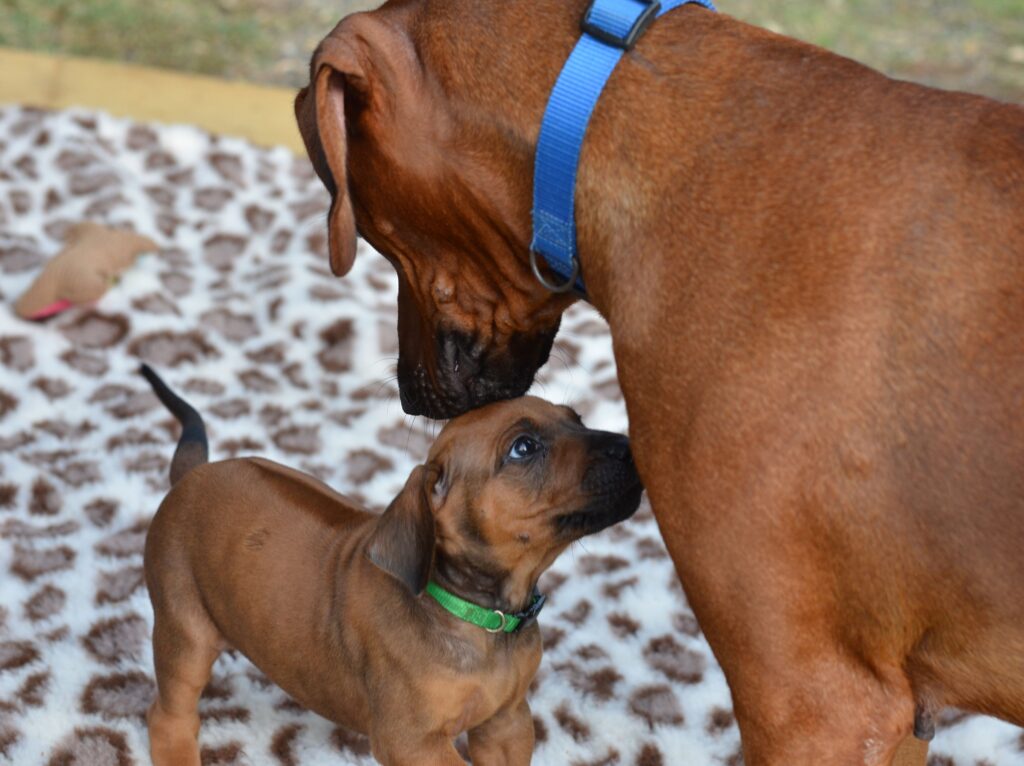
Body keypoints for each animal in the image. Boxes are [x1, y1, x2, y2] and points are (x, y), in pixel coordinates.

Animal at [140, 366, 643, 766]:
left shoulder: (507, 722)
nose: (630, 448)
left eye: (576, 420)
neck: (483, 616)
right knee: (168, 716)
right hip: (185, 630)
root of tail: (191, 476)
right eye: (524, 447)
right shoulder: (412, 742)